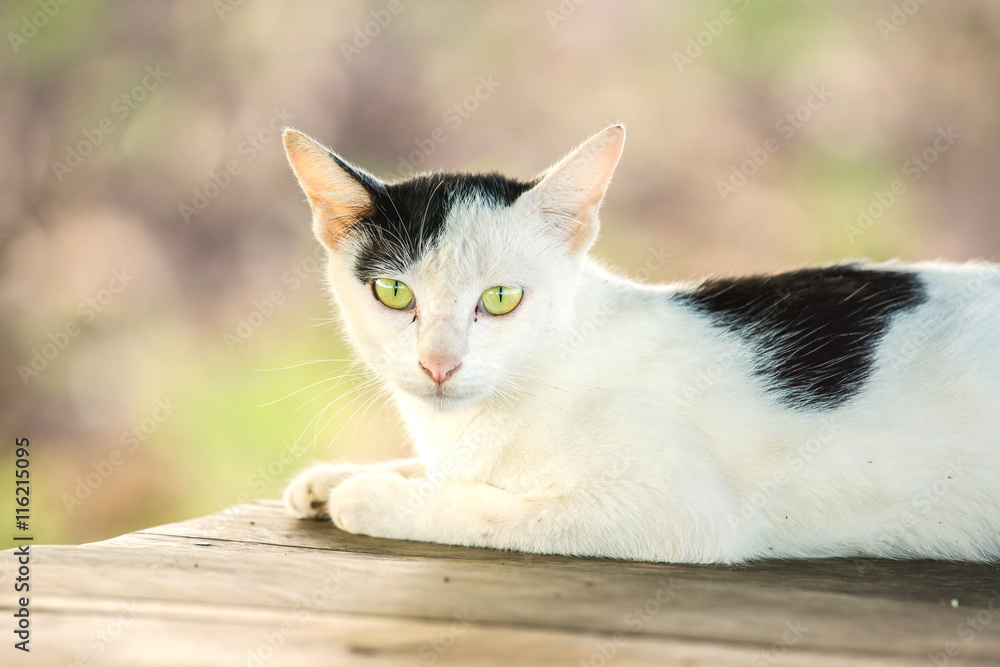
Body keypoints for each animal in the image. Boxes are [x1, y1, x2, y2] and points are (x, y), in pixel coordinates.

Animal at [278, 125, 1000, 564]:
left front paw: (369, 495)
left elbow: (489, 507)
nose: (438, 364)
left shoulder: (678, 513)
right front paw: (333, 477)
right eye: (395, 293)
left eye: (501, 298)